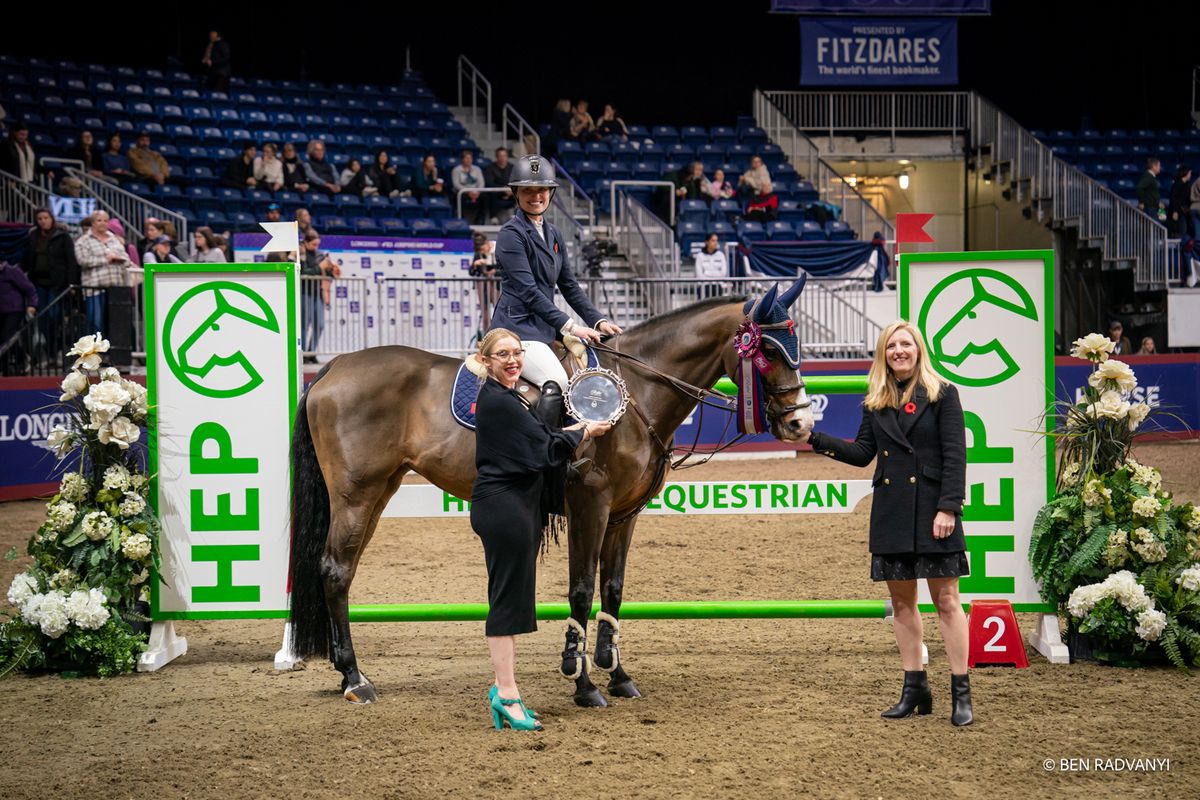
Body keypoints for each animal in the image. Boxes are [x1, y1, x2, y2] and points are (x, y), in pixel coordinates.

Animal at [290, 278, 816, 705]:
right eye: (767, 351)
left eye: (795, 344)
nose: (800, 424)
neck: (637, 393)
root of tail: (335, 367)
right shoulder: (590, 505)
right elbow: (581, 590)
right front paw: (582, 683)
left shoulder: (624, 515)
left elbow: (613, 589)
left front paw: (617, 675)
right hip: (357, 494)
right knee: (336, 570)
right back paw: (355, 679)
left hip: (381, 490)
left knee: (342, 571)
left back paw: (345, 673)